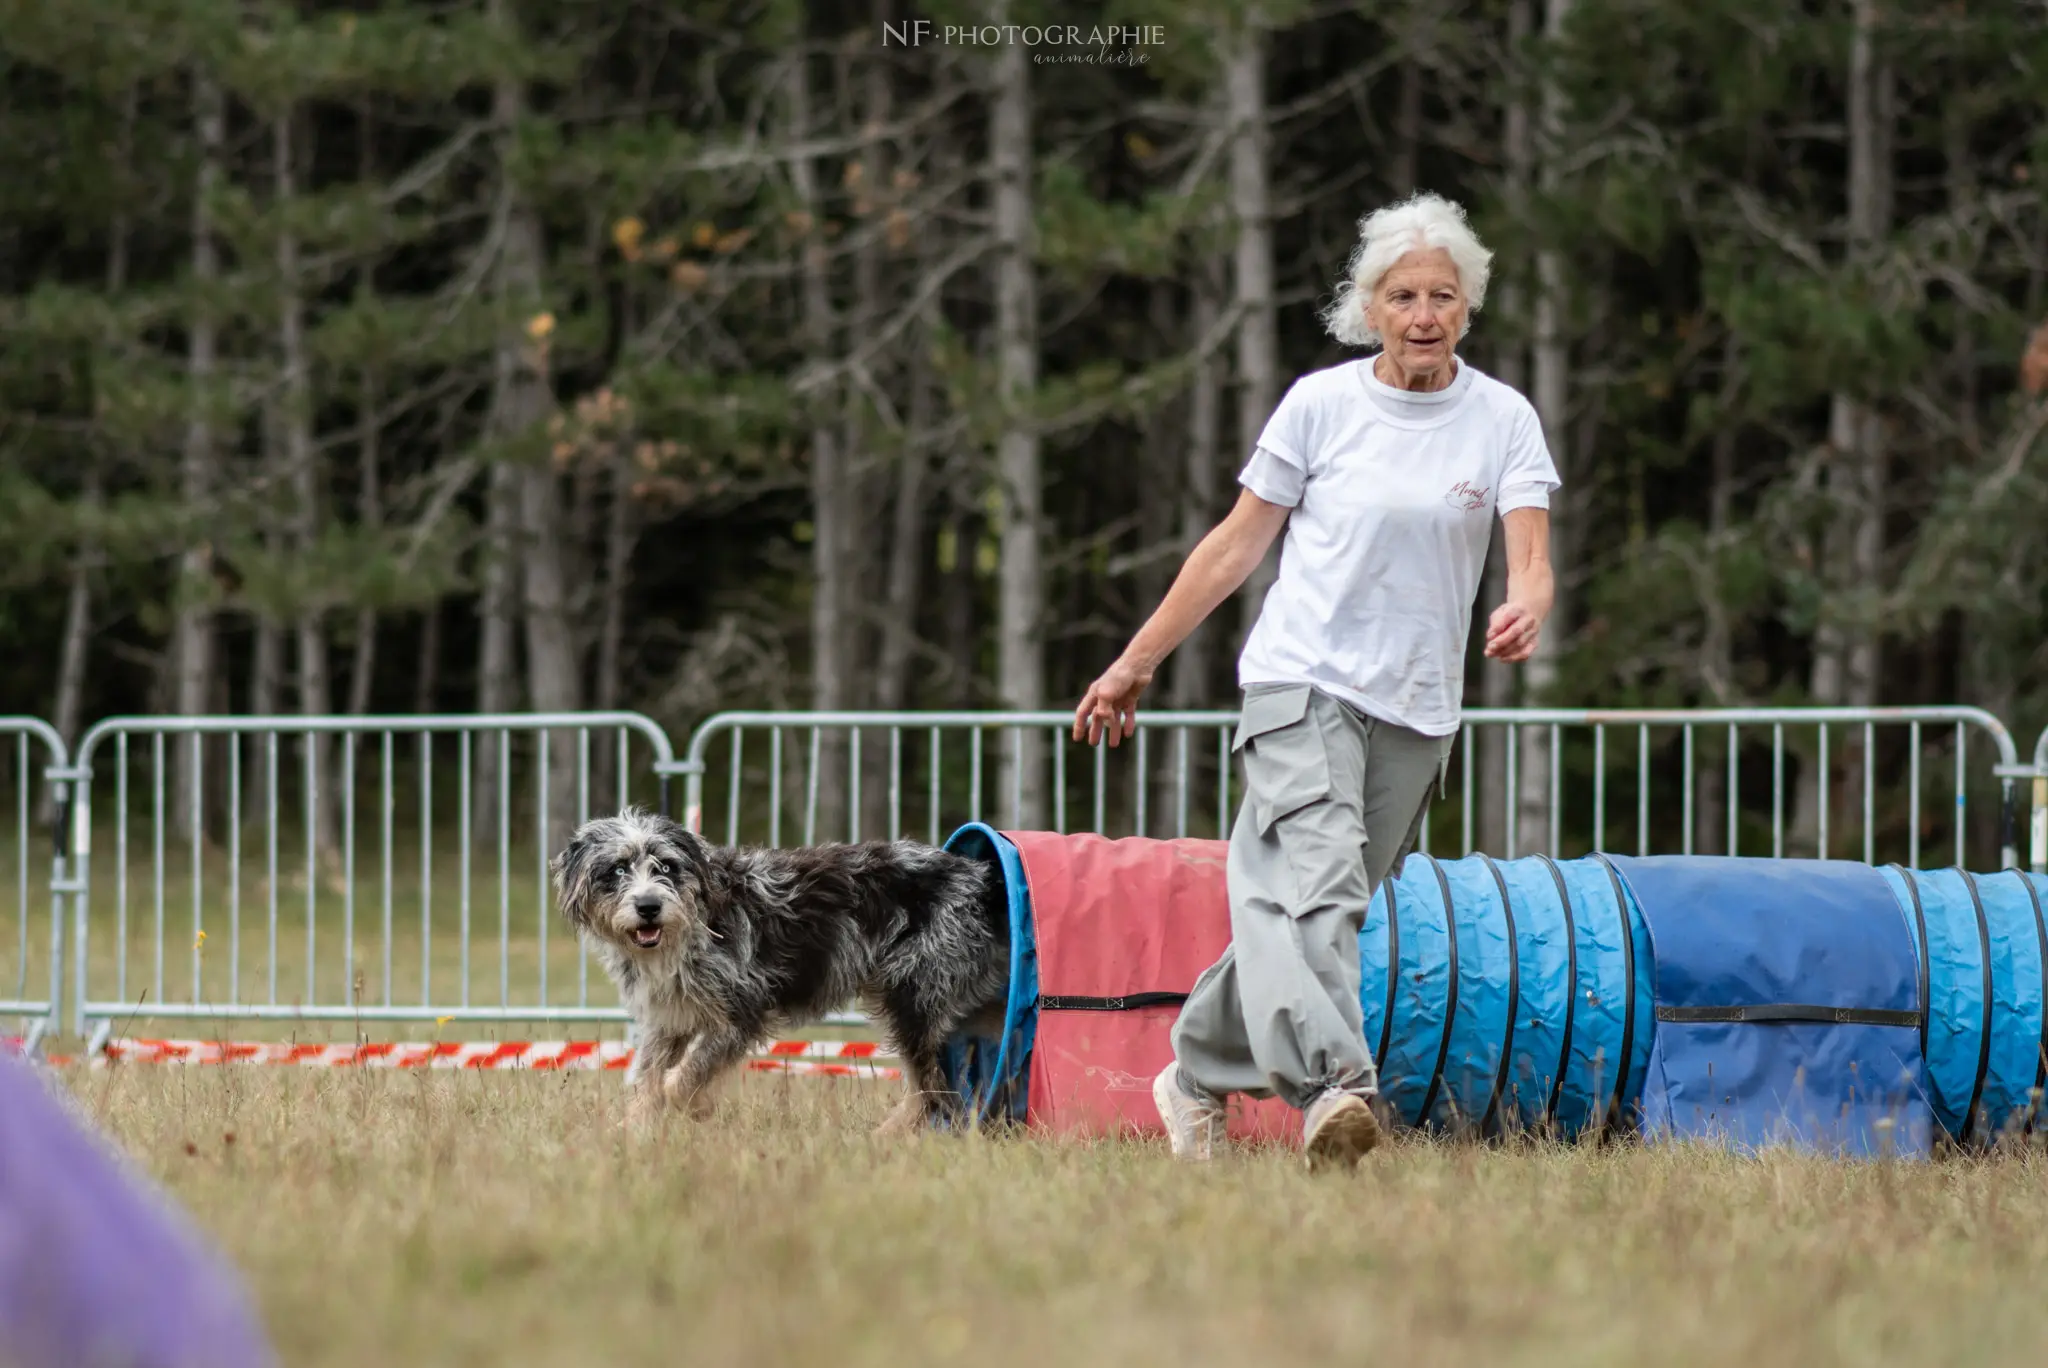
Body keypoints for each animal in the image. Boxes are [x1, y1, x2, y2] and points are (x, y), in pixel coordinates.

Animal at [557, 810, 1011, 1130]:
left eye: (666, 866)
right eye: (616, 870)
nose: (649, 906)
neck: (693, 924)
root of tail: (981, 879)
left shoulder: (741, 1014)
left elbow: (681, 1081)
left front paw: (695, 1108)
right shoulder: (671, 1020)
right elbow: (649, 1080)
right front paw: (631, 1131)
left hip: (912, 998)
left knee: (931, 1090)